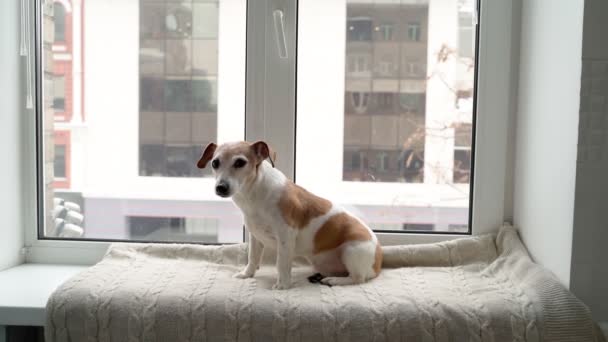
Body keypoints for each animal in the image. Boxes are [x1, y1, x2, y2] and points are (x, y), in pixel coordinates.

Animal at [197, 140, 382, 290]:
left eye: (240, 162)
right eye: (215, 163)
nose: (221, 187)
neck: (254, 195)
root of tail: (378, 263)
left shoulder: (286, 237)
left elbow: (282, 264)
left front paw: (283, 285)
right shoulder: (255, 237)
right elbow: (253, 258)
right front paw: (247, 274)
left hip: (351, 251)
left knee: (358, 278)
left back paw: (334, 281)